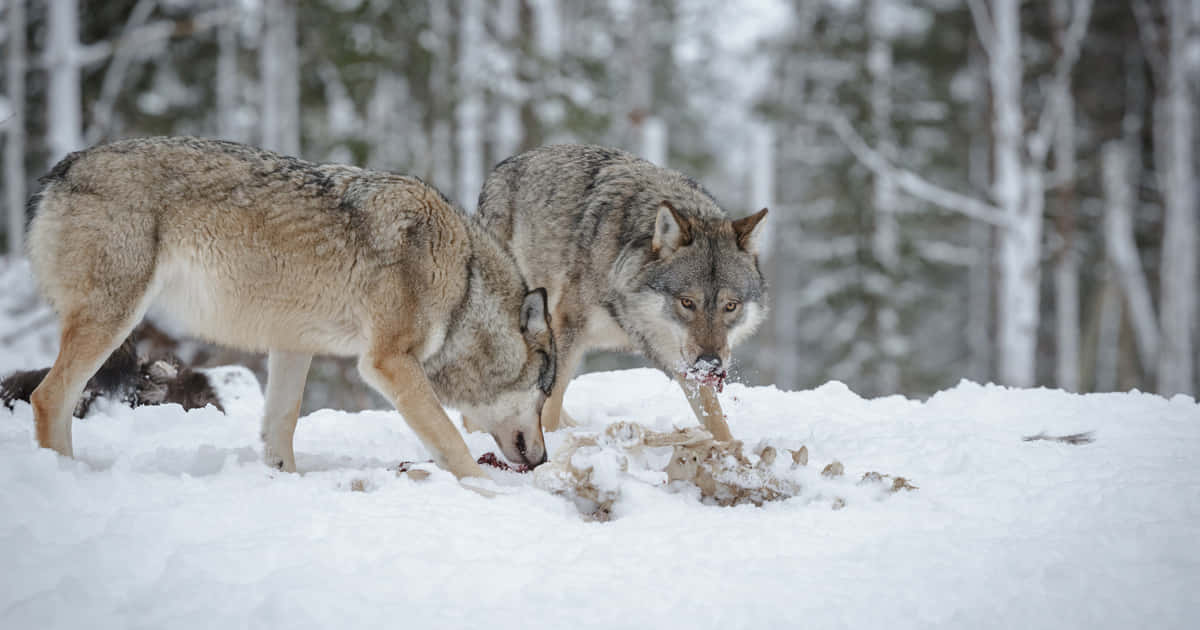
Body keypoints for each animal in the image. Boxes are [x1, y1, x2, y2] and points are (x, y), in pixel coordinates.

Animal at [26, 137, 555, 478]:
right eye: (545, 392)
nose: (546, 459)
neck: (464, 281)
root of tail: (63, 168)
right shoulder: (389, 363)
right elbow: (451, 441)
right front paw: (491, 495)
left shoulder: (293, 346)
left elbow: (281, 427)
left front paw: (285, 481)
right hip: (115, 321)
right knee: (48, 397)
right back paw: (65, 476)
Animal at [477, 144, 767, 440]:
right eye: (687, 302)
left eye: (730, 306)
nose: (711, 363)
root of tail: (504, 166)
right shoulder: (568, 328)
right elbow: (550, 404)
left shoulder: (683, 359)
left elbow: (715, 419)